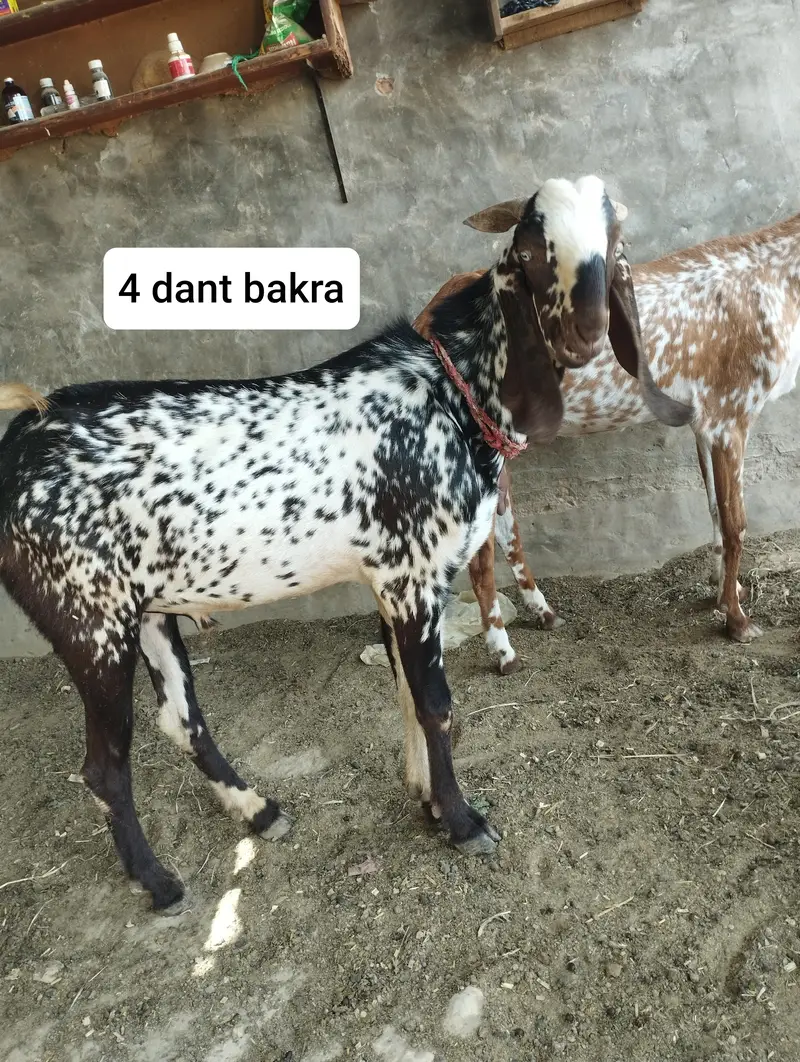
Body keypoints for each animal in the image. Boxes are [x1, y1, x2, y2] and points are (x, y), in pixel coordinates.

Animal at [0, 177, 691, 910]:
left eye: (614, 241)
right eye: (531, 251)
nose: (585, 331)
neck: (450, 392)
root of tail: (16, 446)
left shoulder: (391, 581)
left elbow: (407, 695)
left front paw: (426, 802)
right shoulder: (413, 577)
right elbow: (436, 704)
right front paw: (462, 820)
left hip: (149, 611)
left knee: (182, 720)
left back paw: (259, 811)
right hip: (89, 622)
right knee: (103, 768)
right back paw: (159, 881)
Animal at [415, 210, 800, 673]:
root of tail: (427, 316)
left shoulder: (704, 420)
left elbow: (712, 509)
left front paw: (725, 590)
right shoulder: (733, 412)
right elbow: (736, 523)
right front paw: (737, 621)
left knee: (507, 528)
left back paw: (545, 614)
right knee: (478, 555)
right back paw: (505, 652)